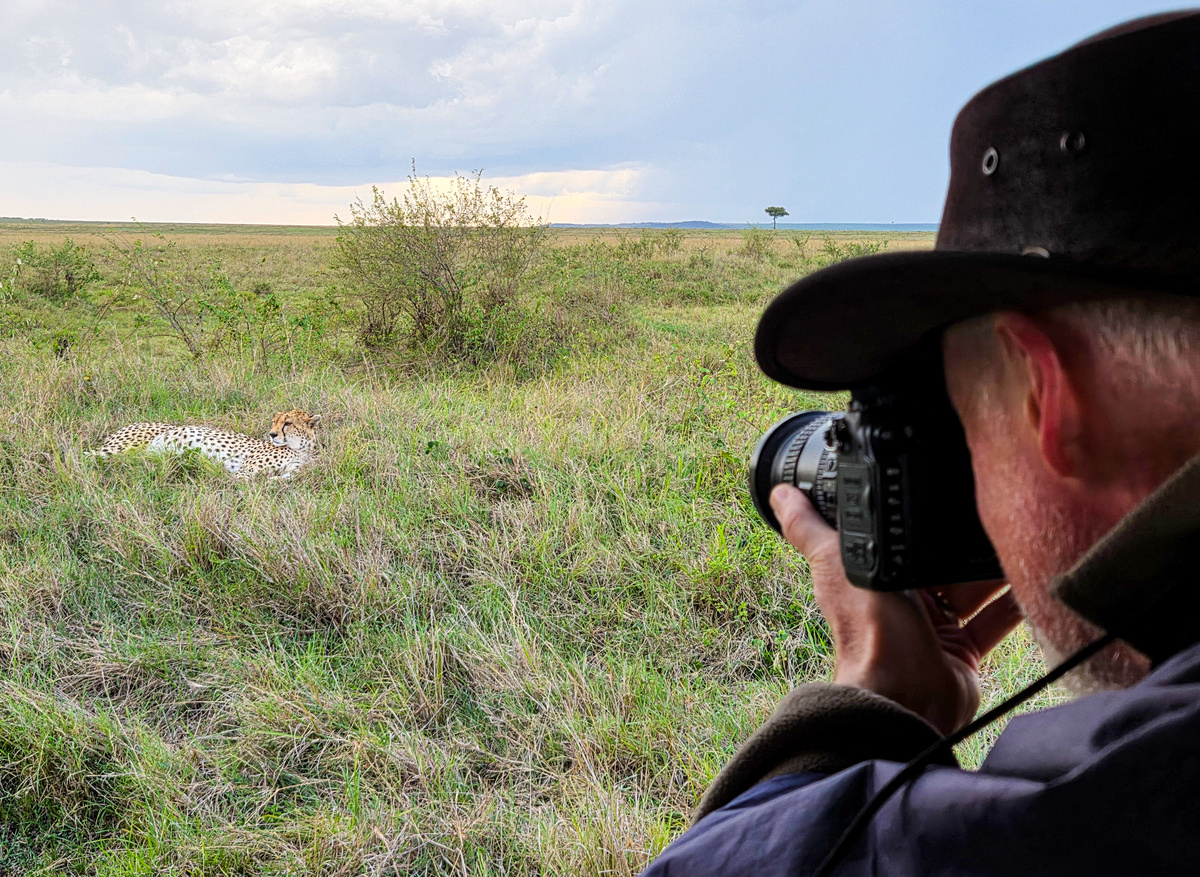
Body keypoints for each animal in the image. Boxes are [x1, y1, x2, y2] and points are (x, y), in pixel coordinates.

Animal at [89, 409, 321, 479]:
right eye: (274, 421)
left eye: (288, 423)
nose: (272, 434)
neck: (302, 449)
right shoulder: (244, 471)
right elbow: (244, 479)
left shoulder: (296, 472)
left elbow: (286, 477)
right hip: (120, 449)